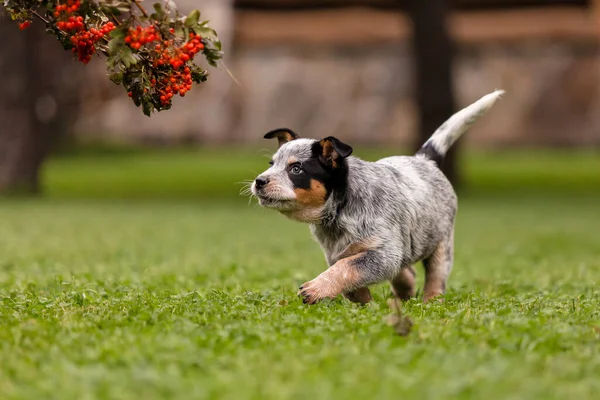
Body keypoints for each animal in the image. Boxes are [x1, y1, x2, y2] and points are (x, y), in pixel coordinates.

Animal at [251, 90, 504, 304]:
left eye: (296, 169)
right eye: (272, 164)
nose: (259, 181)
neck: (340, 210)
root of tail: (424, 159)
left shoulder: (384, 252)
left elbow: (348, 267)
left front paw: (317, 288)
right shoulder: (336, 254)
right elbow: (349, 274)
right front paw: (364, 304)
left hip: (441, 244)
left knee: (435, 277)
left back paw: (431, 301)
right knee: (406, 270)